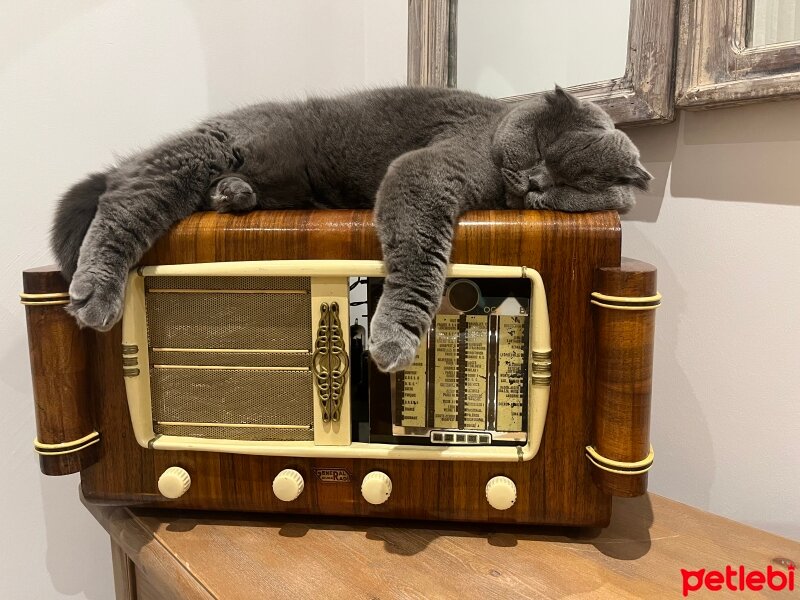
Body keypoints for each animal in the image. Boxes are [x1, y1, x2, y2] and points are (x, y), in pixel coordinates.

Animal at [51, 86, 648, 372]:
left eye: (576, 181)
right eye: (544, 149)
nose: (536, 184)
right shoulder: (428, 168)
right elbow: (419, 260)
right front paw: (396, 335)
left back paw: (232, 195)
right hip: (212, 148)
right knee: (124, 197)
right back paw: (95, 291)